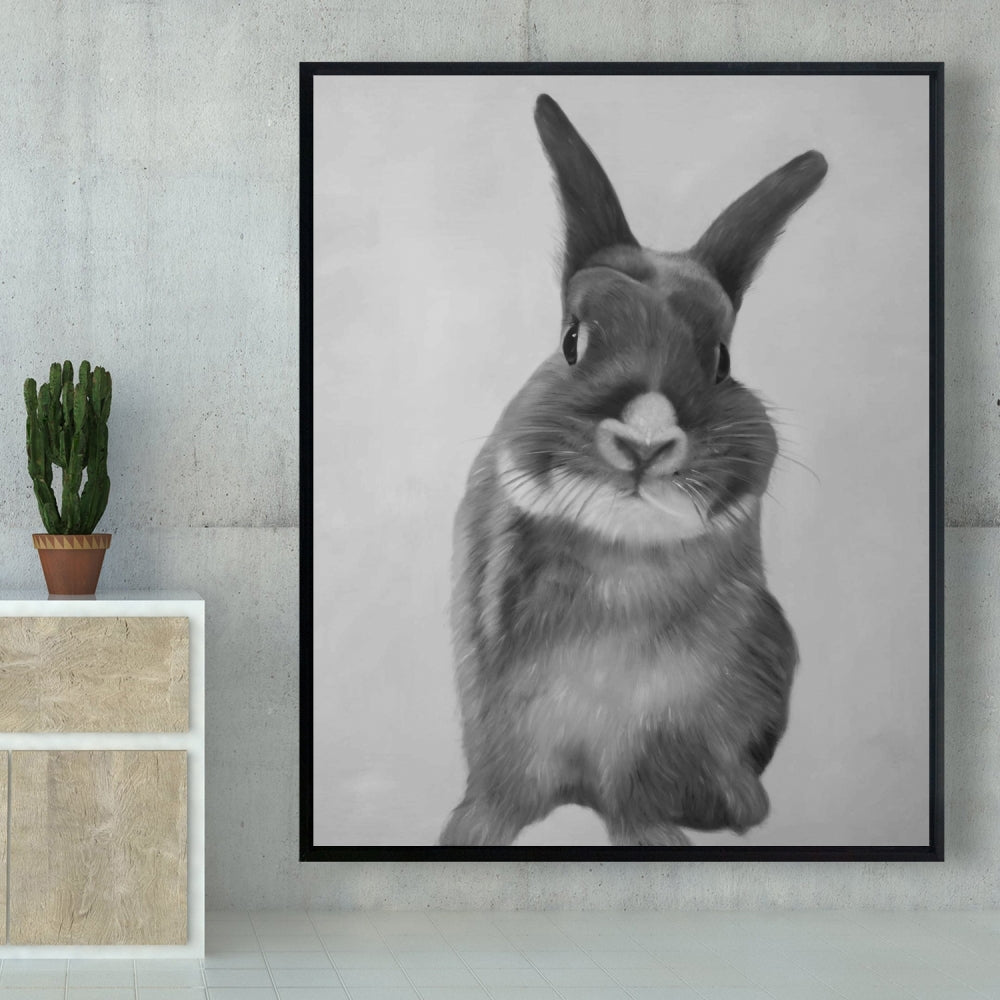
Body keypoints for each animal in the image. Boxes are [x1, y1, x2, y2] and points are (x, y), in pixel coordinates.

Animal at [440, 94, 827, 847]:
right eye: (572, 340)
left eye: (722, 361)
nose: (646, 441)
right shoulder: (502, 725)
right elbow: (502, 792)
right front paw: (468, 834)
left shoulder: (650, 740)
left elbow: (635, 800)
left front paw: (657, 839)